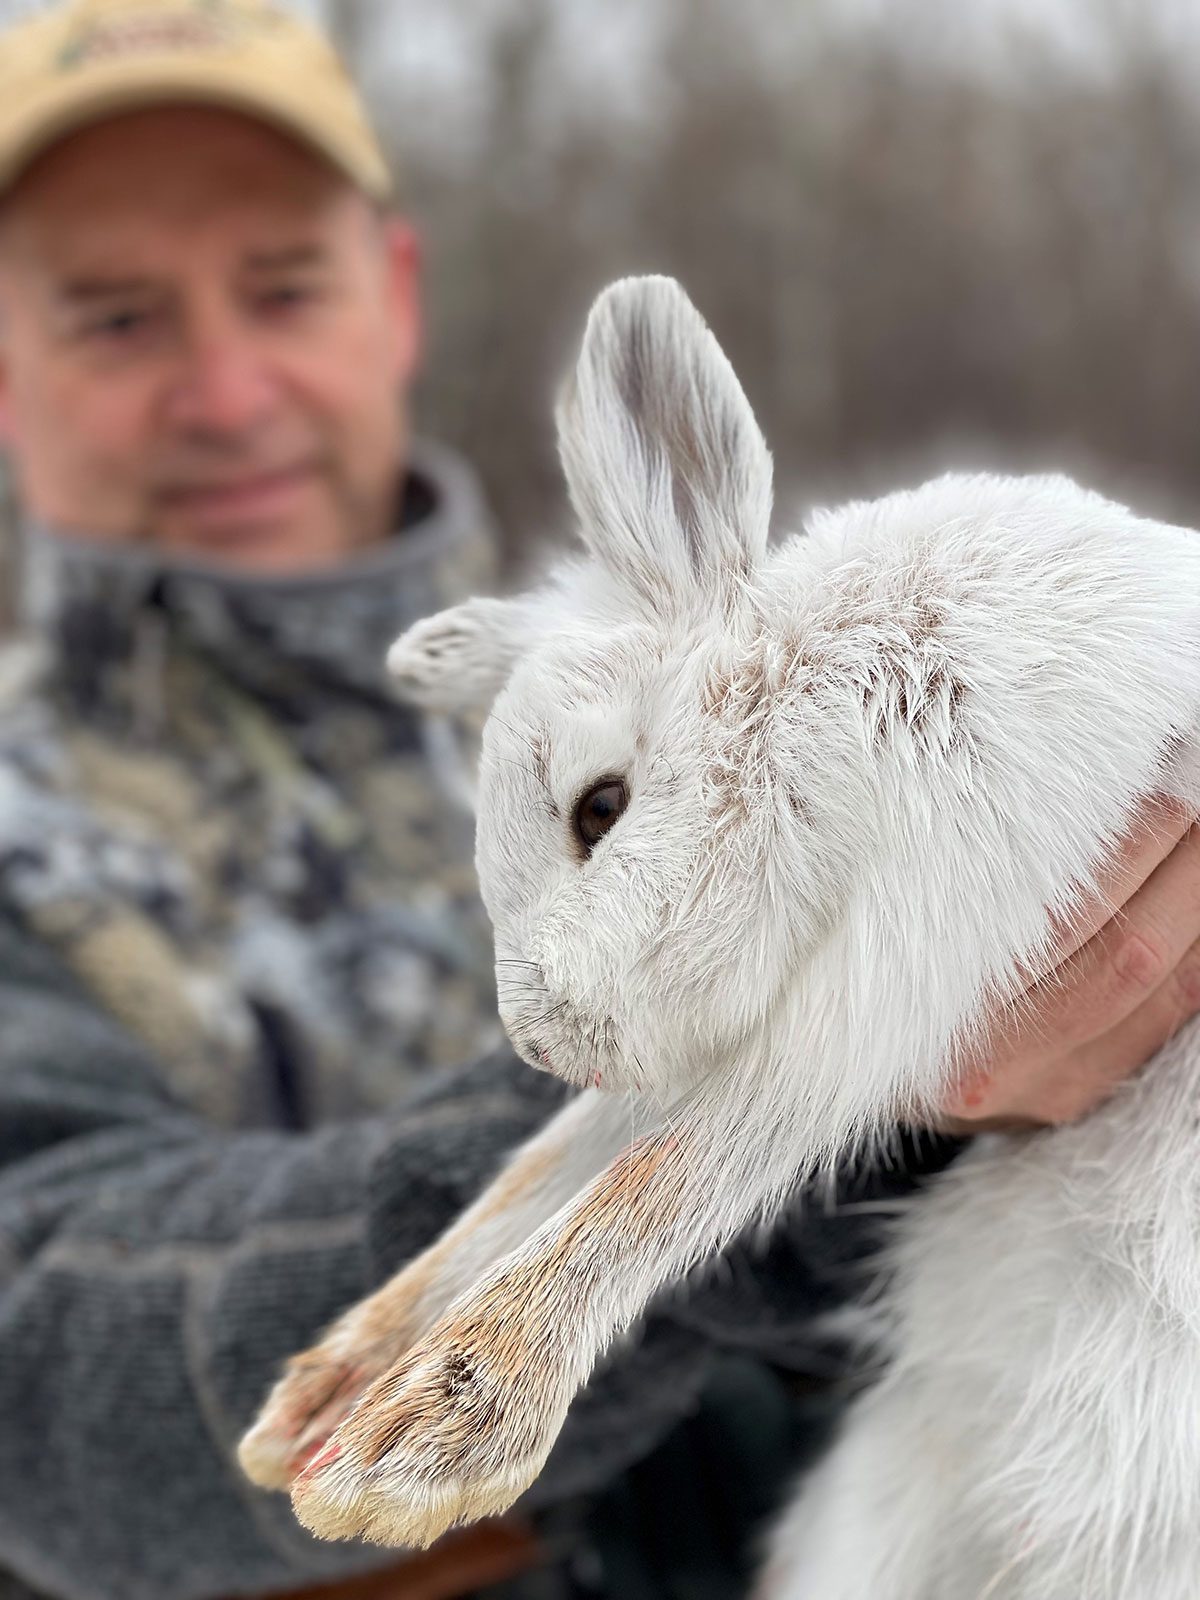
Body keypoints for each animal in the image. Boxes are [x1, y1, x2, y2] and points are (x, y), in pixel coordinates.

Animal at [236, 278, 1200, 1600]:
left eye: (601, 808)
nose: (542, 1045)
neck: (818, 698)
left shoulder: (914, 949)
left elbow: (664, 1178)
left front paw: (416, 1450)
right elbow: (530, 1177)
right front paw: (314, 1402)